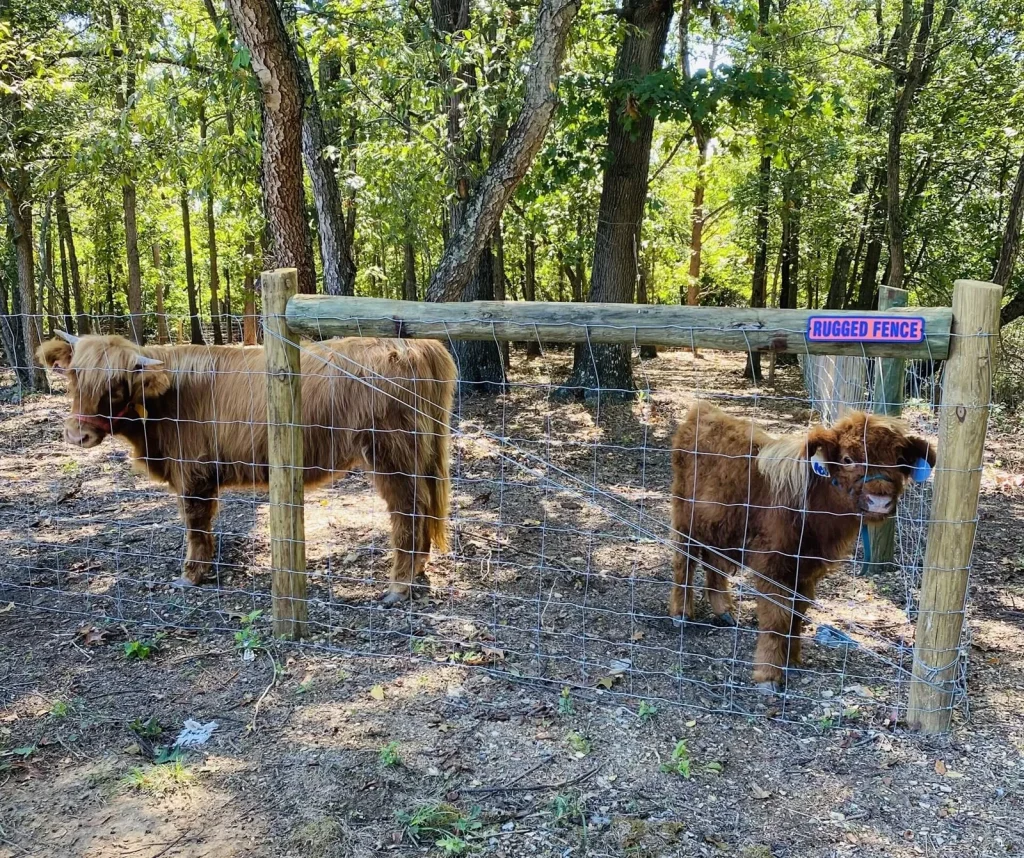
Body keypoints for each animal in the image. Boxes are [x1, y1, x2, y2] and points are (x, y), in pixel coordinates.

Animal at [38, 332, 456, 604]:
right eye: (73, 376)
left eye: (116, 386)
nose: (77, 435)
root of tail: (416, 344)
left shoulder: (193, 471)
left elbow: (195, 521)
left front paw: (191, 575)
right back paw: (417, 570)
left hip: (392, 452)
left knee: (408, 509)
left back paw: (399, 586)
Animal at [668, 401, 935, 692]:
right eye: (847, 459)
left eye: (899, 460)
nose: (879, 501)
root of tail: (703, 410)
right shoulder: (773, 566)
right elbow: (777, 617)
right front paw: (769, 675)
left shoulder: (807, 569)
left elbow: (797, 614)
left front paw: (792, 660)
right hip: (685, 516)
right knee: (684, 560)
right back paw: (681, 612)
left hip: (721, 524)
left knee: (714, 560)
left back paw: (724, 611)